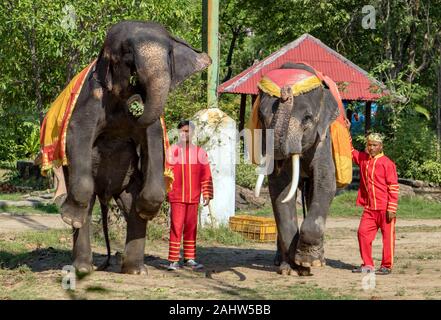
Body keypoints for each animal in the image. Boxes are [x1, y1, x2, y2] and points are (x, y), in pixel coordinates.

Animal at [61, 20, 211, 230]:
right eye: (127, 53)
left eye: (169, 53)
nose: (136, 101)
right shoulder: (92, 96)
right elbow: (79, 131)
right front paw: (70, 219)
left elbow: (154, 138)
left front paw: (145, 211)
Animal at [253, 62, 338, 276]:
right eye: (261, 116)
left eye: (307, 118)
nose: (286, 91)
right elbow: (280, 189)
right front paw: (293, 269)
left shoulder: (323, 138)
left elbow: (325, 182)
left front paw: (307, 264)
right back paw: (280, 262)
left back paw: (320, 261)